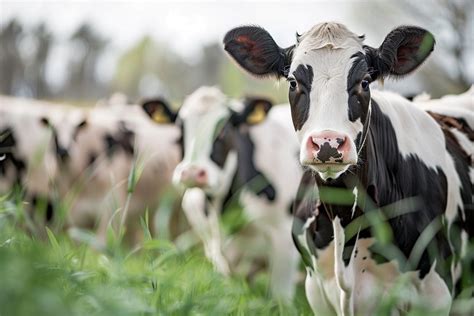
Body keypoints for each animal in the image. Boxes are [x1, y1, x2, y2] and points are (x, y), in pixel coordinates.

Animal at [170, 87, 302, 302]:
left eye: (224, 130)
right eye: (180, 131)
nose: (192, 173)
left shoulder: (285, 239)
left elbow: (281, 298)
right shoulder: (215, 250)